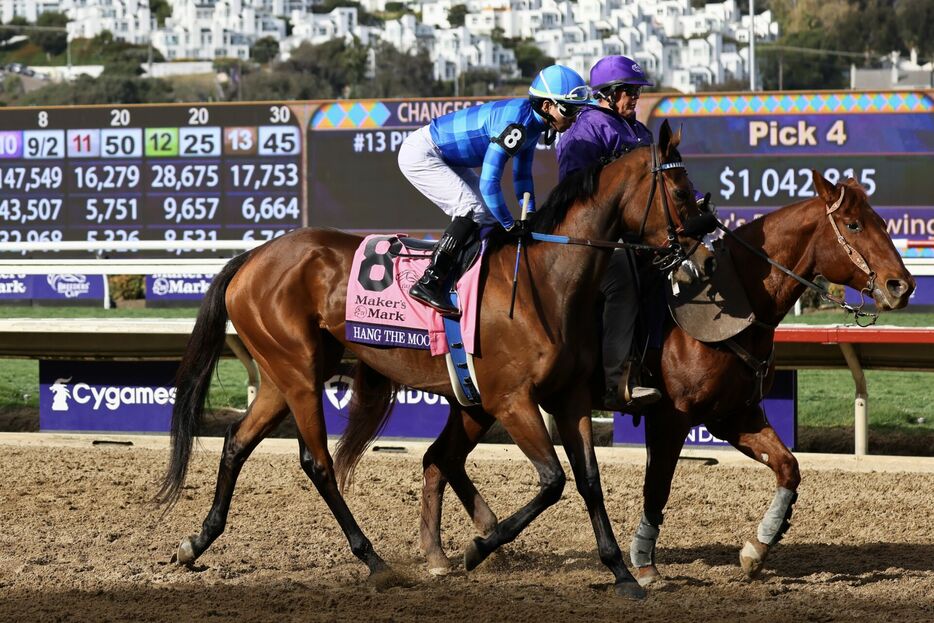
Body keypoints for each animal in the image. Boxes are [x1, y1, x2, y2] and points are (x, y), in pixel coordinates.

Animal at [157, 120, 704, 600]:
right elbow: (553, 481)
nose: (703, 258)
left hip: (281, 376)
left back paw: (195, 543)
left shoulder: (567, 400)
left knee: (237, 442)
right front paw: (478, 547)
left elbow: (589, 482)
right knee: (318, 462)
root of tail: (253, 257)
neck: (546, 281)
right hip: (299, 373)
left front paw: (623, 574)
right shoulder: (511, 401)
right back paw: (374, 561)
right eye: (681, 193)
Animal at [414, 169, 916, 584]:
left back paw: (458, 548)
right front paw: (644, 562)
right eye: (853, 225)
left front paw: (757, 549)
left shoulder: (733, 415)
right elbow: (658, 486)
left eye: (880, 221)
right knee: (445, 458)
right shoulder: (672, 417)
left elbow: (789, 467)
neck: (731, 302)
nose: (902, 285)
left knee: (441, 459)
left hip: (477, 402)